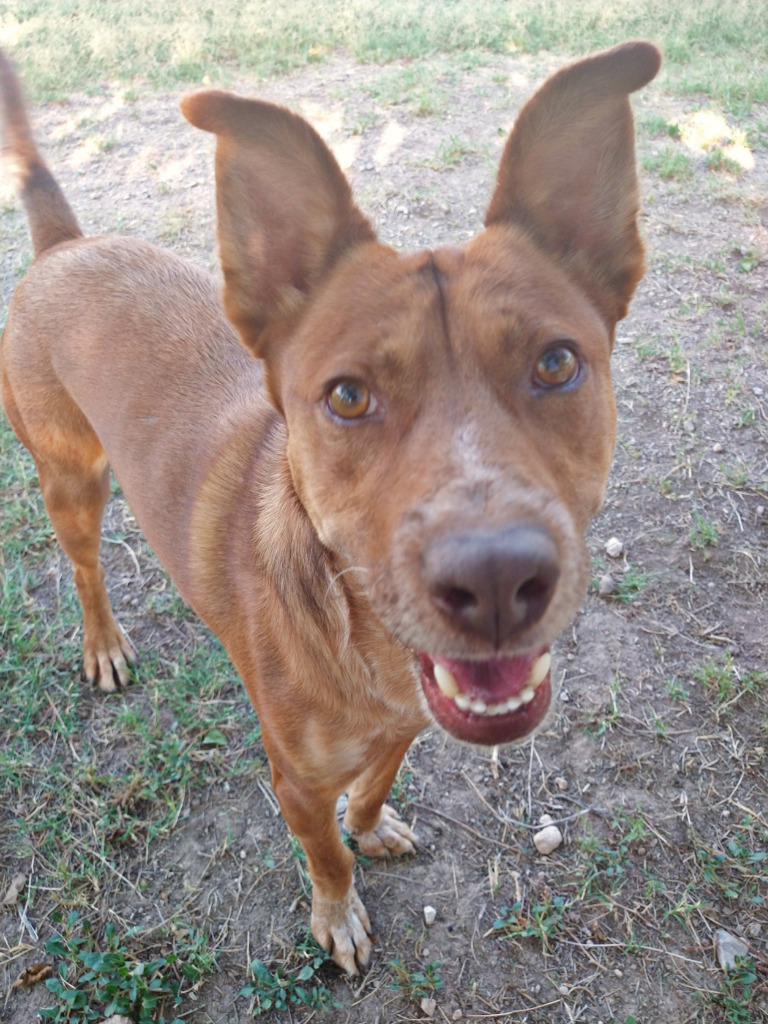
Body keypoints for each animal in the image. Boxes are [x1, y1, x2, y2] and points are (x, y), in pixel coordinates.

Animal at [0, 39, 663, 966]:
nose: (497, 582)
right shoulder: (294, 782)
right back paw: (103, 644)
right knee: (86, 569)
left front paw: (372, 823)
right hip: (70, 480)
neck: (368, 648)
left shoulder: (405, 727)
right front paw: (338, 912)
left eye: (558, 363)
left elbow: (376, 784)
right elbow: (324, 854)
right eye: (347, 396)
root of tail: (67, 246)